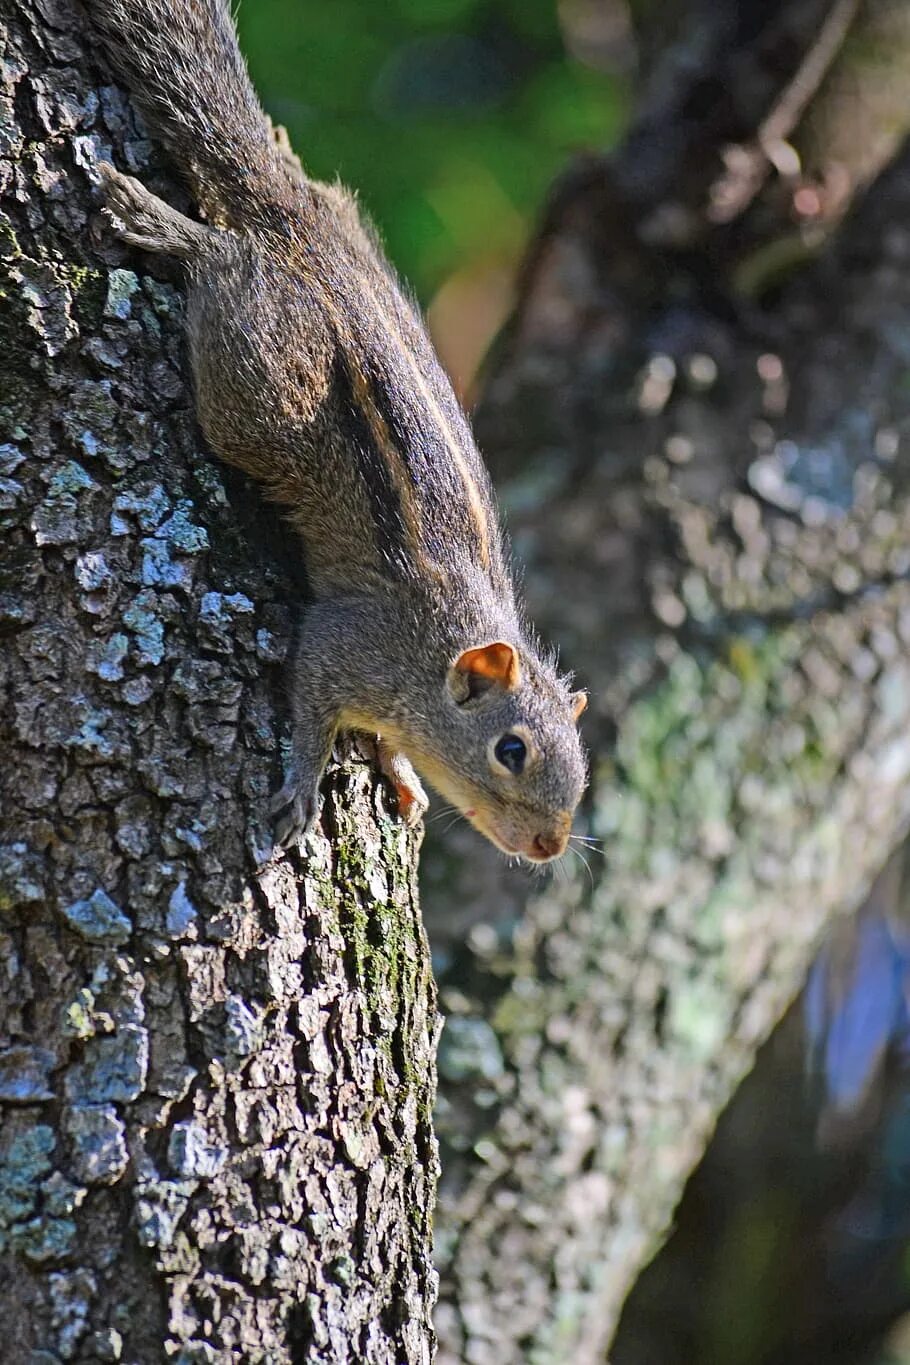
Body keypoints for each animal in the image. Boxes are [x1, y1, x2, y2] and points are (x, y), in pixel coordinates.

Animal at [81, 0, 586, 862]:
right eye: (511, 750)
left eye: (581, 766)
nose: (549, 847)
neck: (435, 655)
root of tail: (297, 230)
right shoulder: (348, 642)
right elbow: (314, 708)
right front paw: (304, 784)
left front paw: (404, 773)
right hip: (261, 373)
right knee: (224, 257)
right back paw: (170, 226)